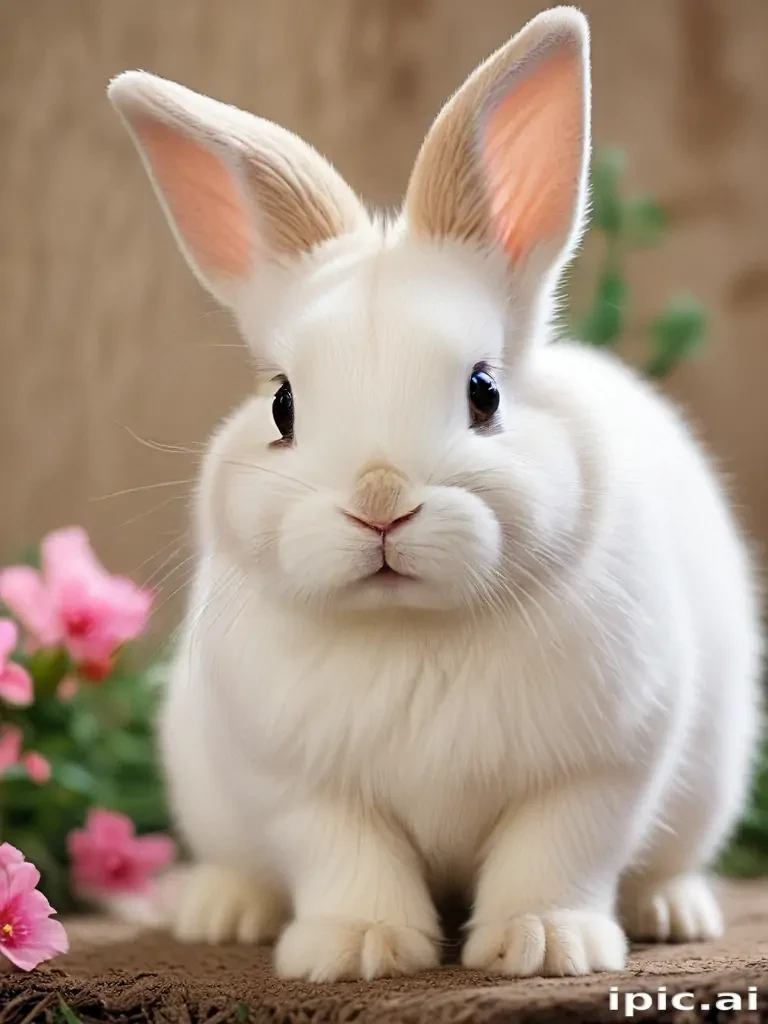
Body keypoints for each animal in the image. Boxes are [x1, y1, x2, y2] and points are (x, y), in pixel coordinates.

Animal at [107, 6, 762, 981]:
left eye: (484, 390)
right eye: (283, 403)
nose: (380, 502)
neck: (409, 628)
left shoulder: (600, 769)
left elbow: (556, 853)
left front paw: (543, 946)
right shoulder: (300, 785)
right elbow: (347, 859)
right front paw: (356, 950)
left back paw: (674, 912)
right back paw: (223, 913)